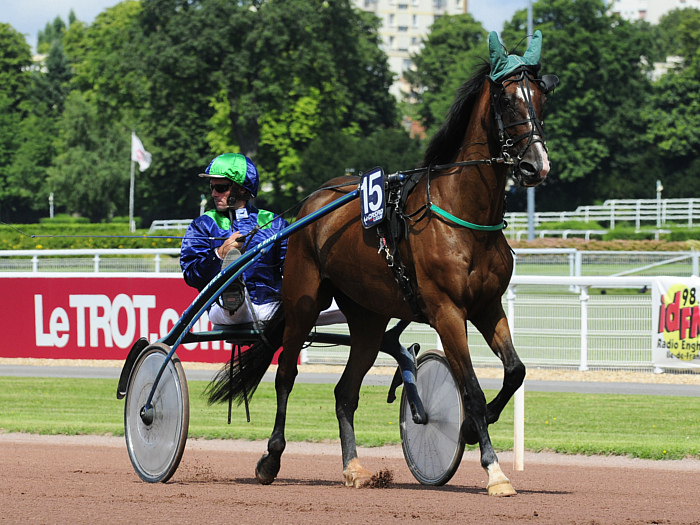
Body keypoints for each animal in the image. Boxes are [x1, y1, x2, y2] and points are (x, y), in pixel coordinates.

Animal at [206, 29, 556, 496]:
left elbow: (516, 371)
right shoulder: (447, 310)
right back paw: (270, 459)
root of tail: (314, 202)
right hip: (303, 300)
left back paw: (354, 468)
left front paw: (466, 431)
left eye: (540, 96)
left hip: (368, 318)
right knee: (285, 375)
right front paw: (495, 470)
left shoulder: (486, 306)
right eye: (505, 99)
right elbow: (471, 390)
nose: (536, 166)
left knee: (345, 391)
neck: (463, 213)